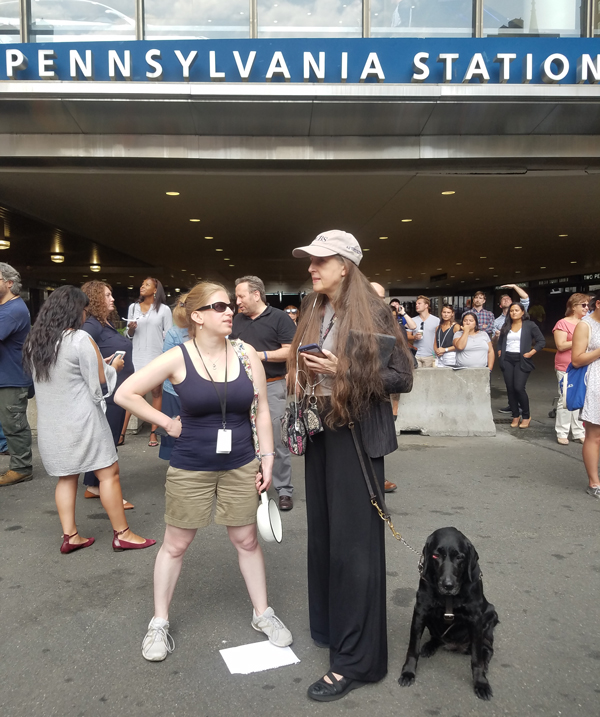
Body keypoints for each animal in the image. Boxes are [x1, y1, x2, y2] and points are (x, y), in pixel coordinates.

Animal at [398, 524, 496, 700]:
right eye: (436, 555)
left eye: (460, 557)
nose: (448, 585)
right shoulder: (421, 611)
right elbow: (413, 648)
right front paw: (408, 672)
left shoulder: (476, 618)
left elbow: (476, 659)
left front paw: (480, 682)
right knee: (436, 638)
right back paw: (429, 646)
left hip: (490, 614)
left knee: (487, 649)